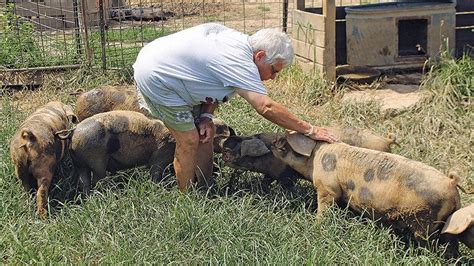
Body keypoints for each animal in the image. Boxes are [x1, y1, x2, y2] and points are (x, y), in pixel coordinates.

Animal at [221, 127, 396, 189]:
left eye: (243, 148)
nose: (226, 146)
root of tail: (386, 140)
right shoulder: (271, 174)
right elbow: (265, 182)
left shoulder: (287, 176)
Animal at [272, 132, 462, 256]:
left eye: (284, 141)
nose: (273, 139)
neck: (316, 158)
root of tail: (451, 183)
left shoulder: (327, 188)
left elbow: (324, 206)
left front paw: (317, 226)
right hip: (450, 221)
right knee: (451, 243)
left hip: (425, 219)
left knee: (427, 241)